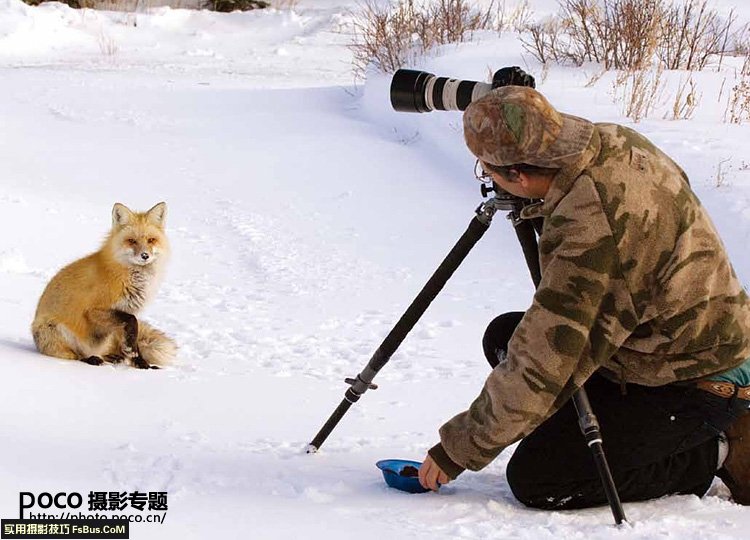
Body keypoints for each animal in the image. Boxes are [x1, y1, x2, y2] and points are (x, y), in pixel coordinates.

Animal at [31, 200, 177, 370]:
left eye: (151, 240)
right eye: (132, 241)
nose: (145, 255)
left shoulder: (123, 315)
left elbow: (133, 337)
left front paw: (141, 363)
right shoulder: (94, 310)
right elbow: (132, 320)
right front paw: (135, 357)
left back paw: (113, 357)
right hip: (55, 330)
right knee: (76, 355)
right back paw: (93, 359)